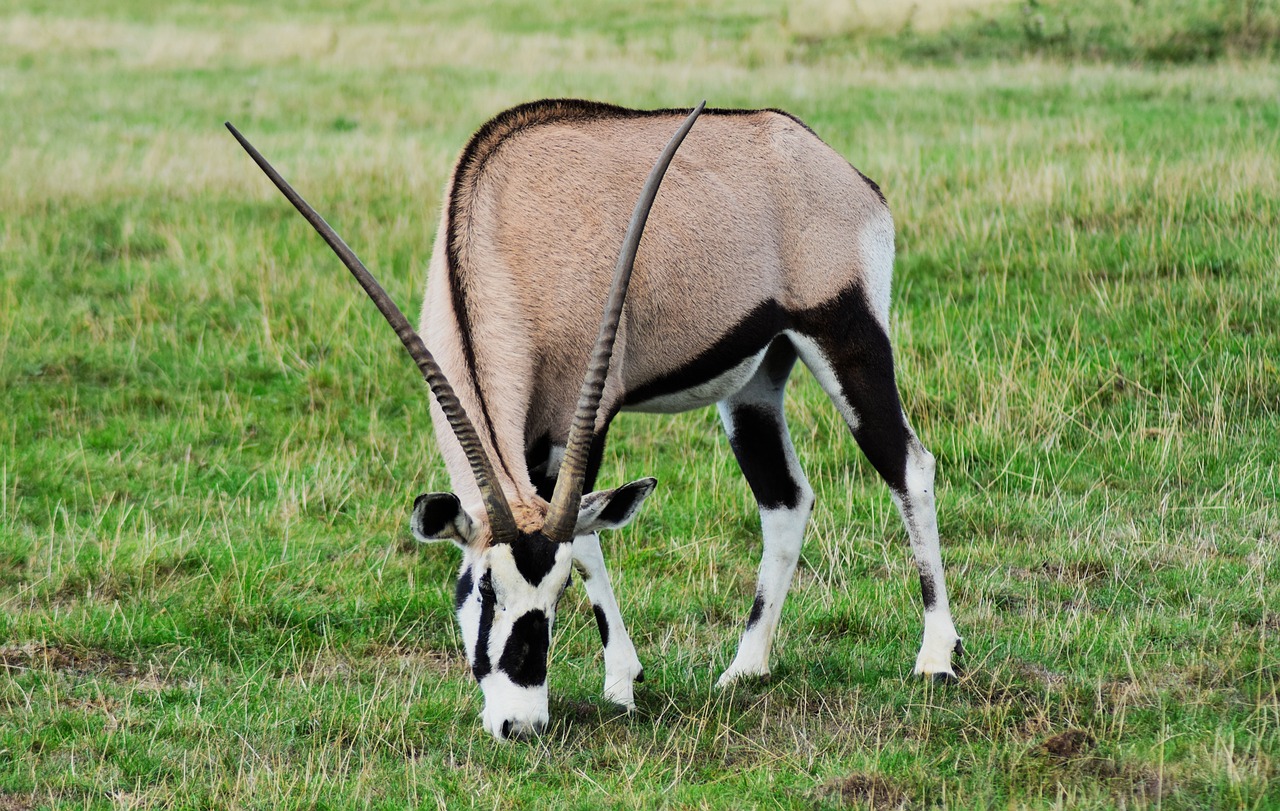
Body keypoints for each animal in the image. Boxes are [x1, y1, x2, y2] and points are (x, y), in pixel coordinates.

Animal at [227, 99, 962, 736]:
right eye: (483, 590)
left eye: (550, 600)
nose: (518, 725)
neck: (501, 230)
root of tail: (838, 168)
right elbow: (587, 536)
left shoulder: (584, 419)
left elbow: (584, 540)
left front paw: (621, 684)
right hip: (758, 377)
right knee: (785, 498)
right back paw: (744, 668)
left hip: (846, 339)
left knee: (908, 466)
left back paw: (936, 657)